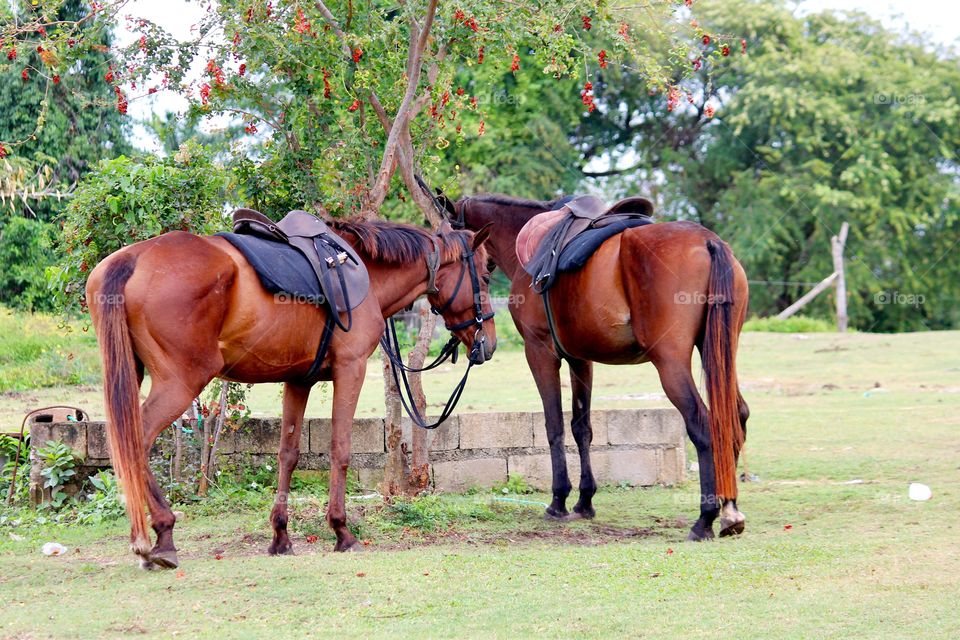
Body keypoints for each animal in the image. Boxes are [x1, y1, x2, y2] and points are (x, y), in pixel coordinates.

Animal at [87, 218, 496, 568]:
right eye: (487, 275)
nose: (488, 343)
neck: (363, 271)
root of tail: (131, 258)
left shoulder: (299, 380)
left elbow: (288, 454)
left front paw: (281, 536)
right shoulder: (351, 369)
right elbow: (340, 450)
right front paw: (341, 530)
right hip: (181, 383)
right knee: (135, 440)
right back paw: (161, 533)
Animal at [436, 194, 752, 540]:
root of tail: (707, 241)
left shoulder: (540, 352)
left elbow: (555, 426)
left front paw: (558, 501)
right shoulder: (580, 359)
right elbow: (581, 427)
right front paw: (584, 501)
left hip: (670, 363)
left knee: (704, 424)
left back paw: (706, 518)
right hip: (719, 350)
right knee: (735, 416)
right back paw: (729, 509)